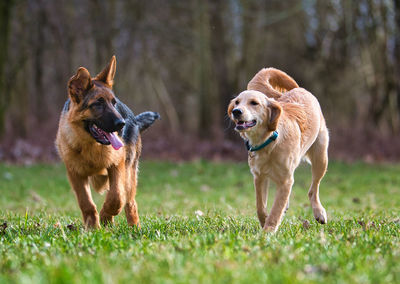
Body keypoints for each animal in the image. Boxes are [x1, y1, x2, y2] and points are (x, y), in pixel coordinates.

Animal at [56, 56, 159, 230]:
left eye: (113, 103)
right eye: (98, 103)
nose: (122, 124)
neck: (91, 145)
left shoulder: (117, 165)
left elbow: (116, 197)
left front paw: (105, 217)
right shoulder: (75, 174)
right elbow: (86, 203)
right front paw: (92, 226)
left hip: (129, 174)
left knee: (129, 202)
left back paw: (133, 227)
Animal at [228, 67, 328, 232]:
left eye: (254, 103)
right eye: (237, 102)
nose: (236, 111)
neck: (269, 141)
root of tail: (299, 89)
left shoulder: (286, 179)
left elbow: (276, 208)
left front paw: (268, 230)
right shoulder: (259, 177)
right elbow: (260, 206)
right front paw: (264, 222)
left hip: (321, 158)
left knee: (313, 188)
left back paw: (319, 212)